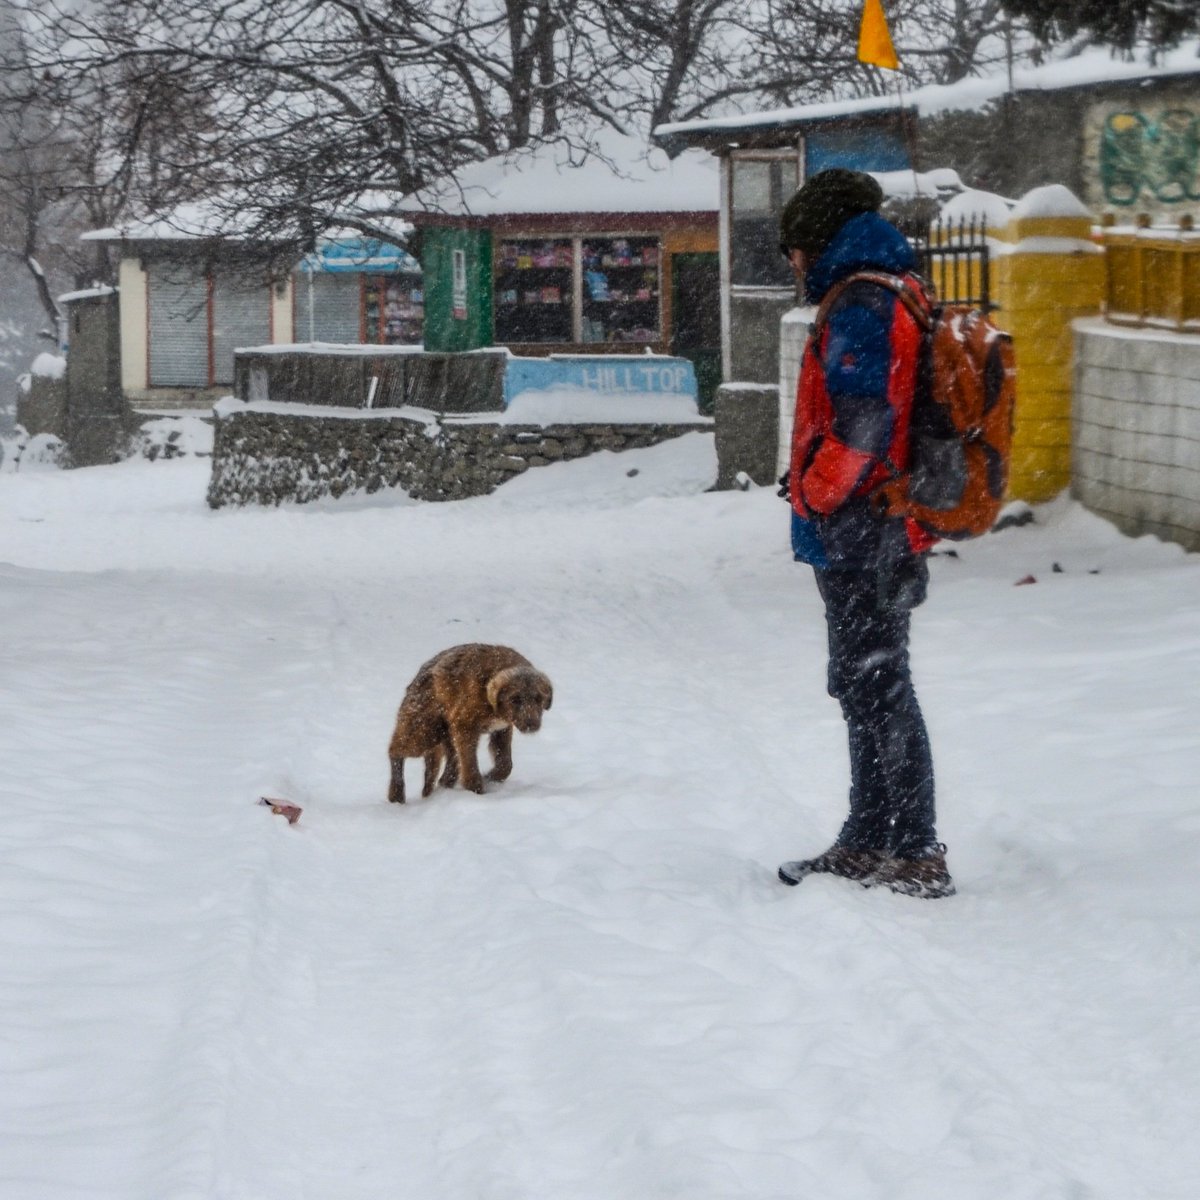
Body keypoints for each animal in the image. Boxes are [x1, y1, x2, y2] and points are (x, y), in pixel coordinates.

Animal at [387, 644, 553, 803]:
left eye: (538, 698)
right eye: (515, 699)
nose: (531, 724)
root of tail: (418, 677)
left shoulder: (502, 729)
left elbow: (505, 763)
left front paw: (491, 777)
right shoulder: (465, 727)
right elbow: (469, 762)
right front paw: (476, 787)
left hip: (443, 736)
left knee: (447, 766)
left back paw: (441, 786)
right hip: (425, 730)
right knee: (396, 750)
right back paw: (396, 793)